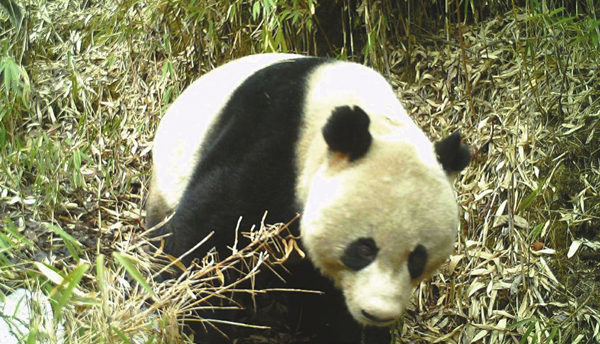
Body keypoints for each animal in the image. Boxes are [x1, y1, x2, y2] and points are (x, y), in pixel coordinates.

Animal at [148, 53, 472, 344]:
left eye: (417, 258)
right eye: (363, 249)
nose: (377, 313)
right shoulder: (267, 137)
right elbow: (206, 236)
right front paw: (196, 320)